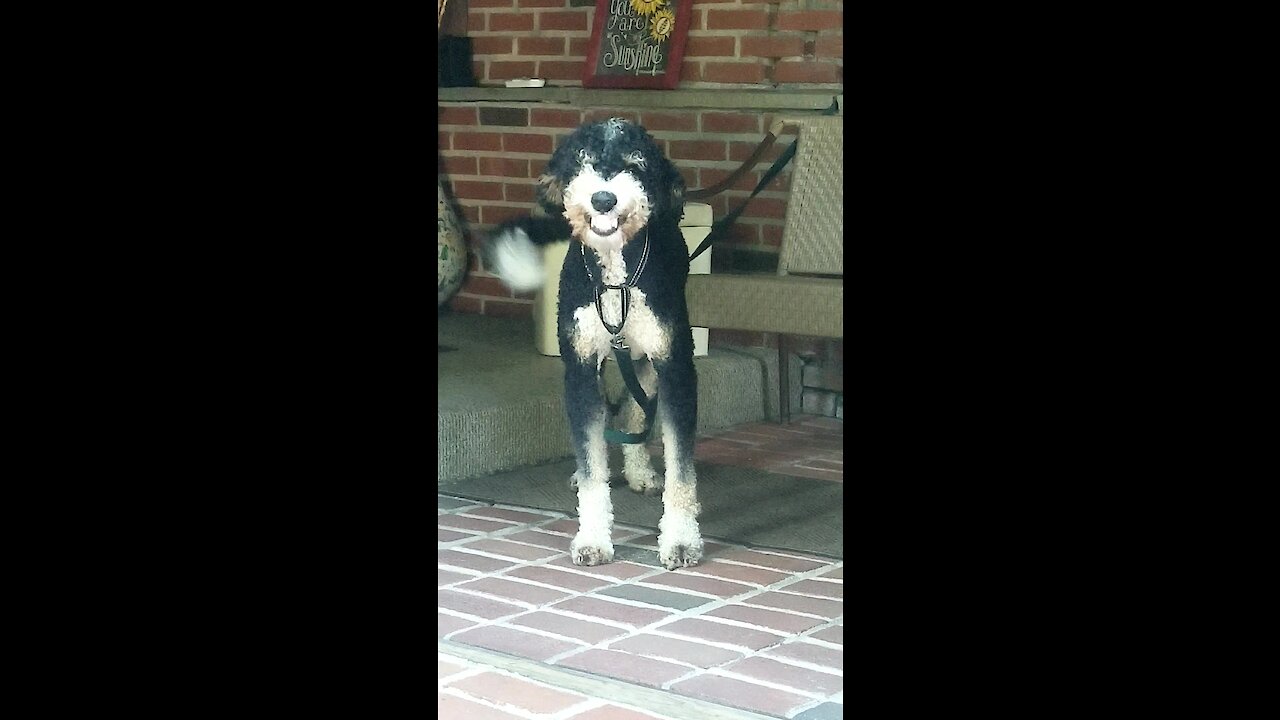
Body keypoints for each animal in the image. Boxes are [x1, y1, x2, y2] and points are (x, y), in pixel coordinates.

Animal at [481, 116, 706, 566]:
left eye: (636, 164)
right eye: (581, 161)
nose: (603, 199)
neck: (616, 275)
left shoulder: (675, 368)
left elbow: (681, 468)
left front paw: (680, 539)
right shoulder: (581, 370)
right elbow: (591, 465)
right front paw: (593, 538)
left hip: (645, 360)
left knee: (636, 414)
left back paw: (640, 472)